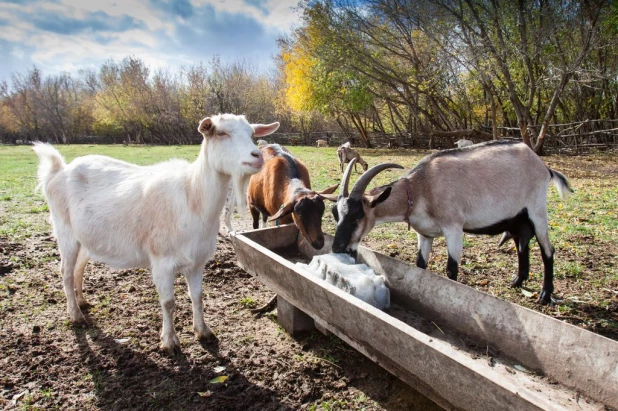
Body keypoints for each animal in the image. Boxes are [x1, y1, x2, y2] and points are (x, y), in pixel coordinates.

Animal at [31, 115, 276, 354]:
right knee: (65, 272)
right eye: (221, 133)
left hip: (85, 237)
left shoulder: (198, 261)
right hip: (65, 231)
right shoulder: (162, 261)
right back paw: (76, 316)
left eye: (252, 134)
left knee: (79, 267)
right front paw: (169, 342)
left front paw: (203, 332)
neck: (192, 196)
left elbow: (197, 296)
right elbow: (168, 302)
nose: (257, 156)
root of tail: (58, 171)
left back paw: (82, 303)